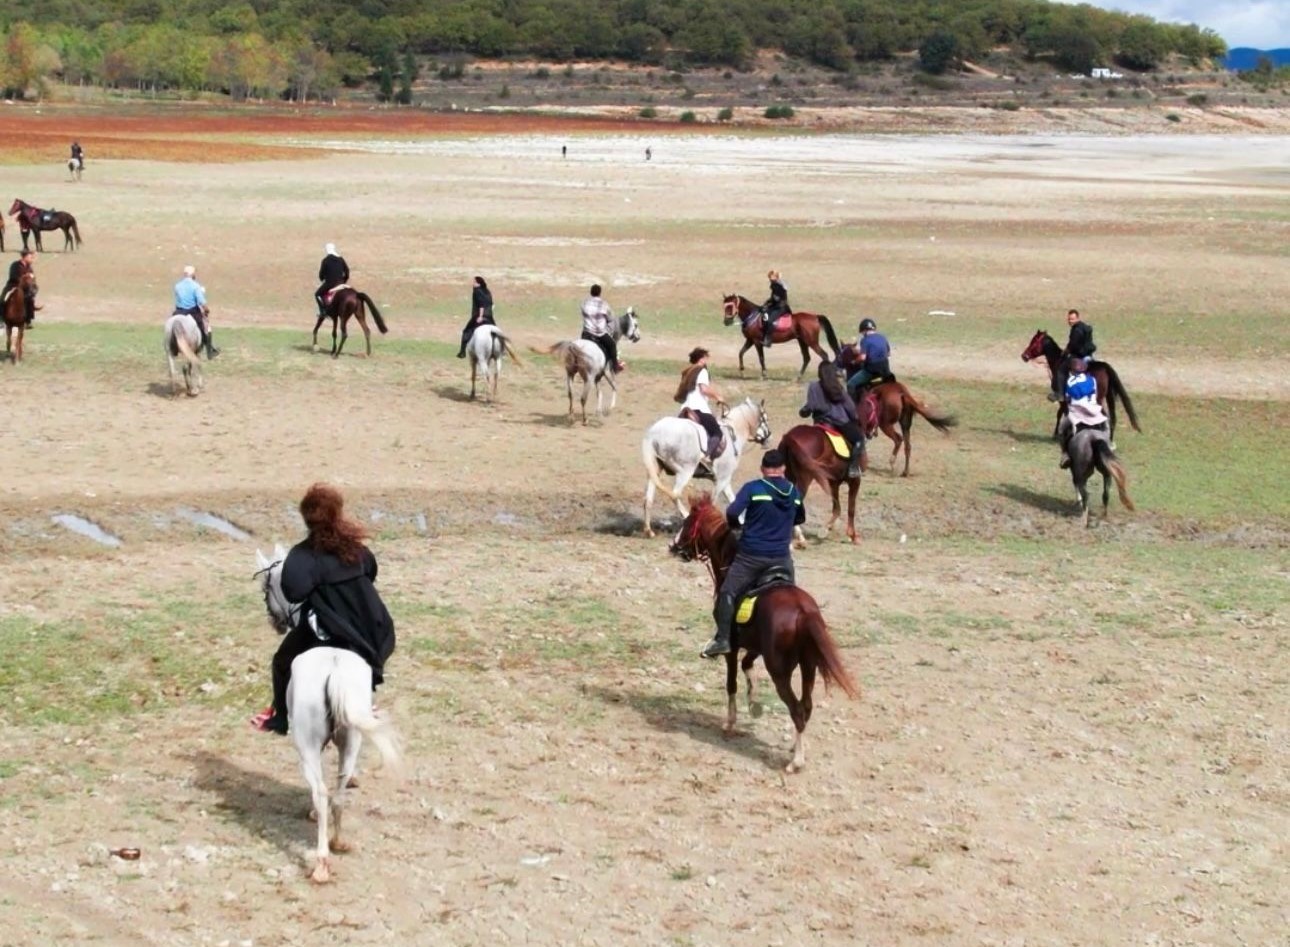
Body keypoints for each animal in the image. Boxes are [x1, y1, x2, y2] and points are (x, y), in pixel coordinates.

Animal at [248, 544, 394, 887]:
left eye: (265, 588)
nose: (275, 623)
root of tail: (334, 670)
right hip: (352, 740)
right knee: (338, 793)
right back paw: (339, 842)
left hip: (306, 745)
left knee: (321, 793)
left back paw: (322, 863)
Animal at [642, 397, 768, 536]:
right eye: (765, 418)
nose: (769, 437)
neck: (733, 435)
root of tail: (653, 435)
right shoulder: (721, 480)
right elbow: (713, 501)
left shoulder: (724, 480)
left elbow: (733, 500)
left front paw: (741, 522)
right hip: (685, 472)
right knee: (675, 495)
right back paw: (686, 516)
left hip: (655, 471)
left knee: (648, 500)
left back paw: (649, 531)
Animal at [665, 492, 856, 774]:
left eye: (687, 522)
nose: (673, 546)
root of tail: (803, 612)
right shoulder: (754, 646)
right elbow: (747, 667)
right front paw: (754, 703)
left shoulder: (732, 646)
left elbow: (731, 682)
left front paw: (730, 722)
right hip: (807, 667)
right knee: (806, 706)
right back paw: (796, 747)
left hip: (779, 671)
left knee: (797, 709)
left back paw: (796, 761)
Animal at [835, 345, 959, 477]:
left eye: (841, 353)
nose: (837, 365)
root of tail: (902, 393)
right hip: (905, 424)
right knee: (907, 446)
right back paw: (905, 471)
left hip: (885, 424)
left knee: (898, 439)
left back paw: (892, 461)